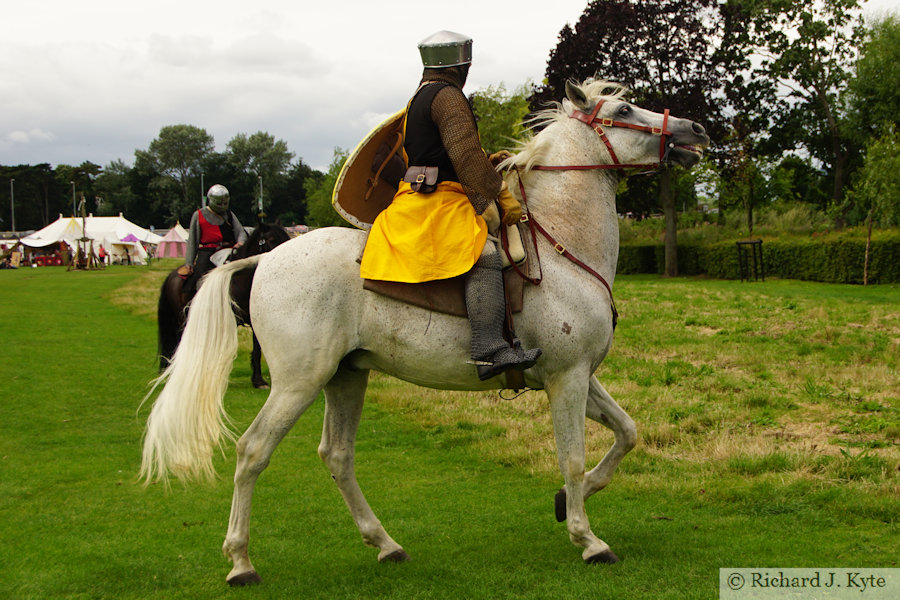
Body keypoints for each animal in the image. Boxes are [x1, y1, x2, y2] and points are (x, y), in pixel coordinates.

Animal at [156, 223, 290, 386]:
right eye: (271, 240)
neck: (241, 280)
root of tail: (173, 274)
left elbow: (257, 350)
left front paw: (258, 380)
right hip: (182, 319)